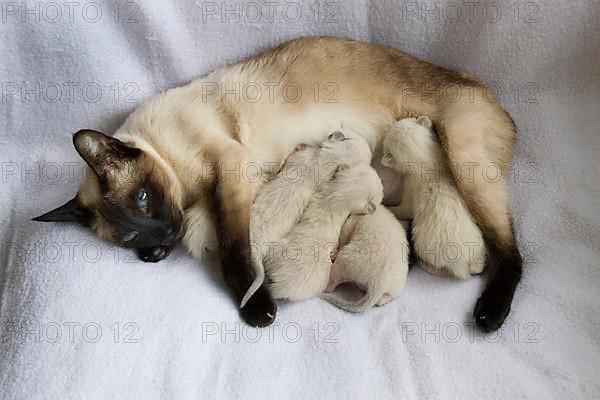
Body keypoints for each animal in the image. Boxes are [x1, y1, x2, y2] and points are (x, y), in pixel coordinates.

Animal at [34, 36, 520, 330]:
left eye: (143, 197)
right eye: (131, 233)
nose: (164, 233)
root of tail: (491, 95)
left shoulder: (229, 172)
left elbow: (235, 254)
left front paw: (257, 309)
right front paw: (157, 254)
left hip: (466, 165)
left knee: (511, 253)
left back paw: (489, 316)